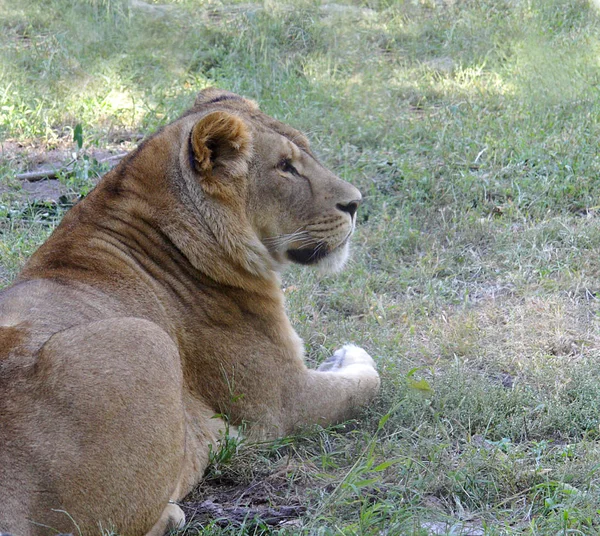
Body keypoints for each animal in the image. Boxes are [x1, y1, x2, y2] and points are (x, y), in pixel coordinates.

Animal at [1, 89, 380, 536]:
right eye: (285, 167)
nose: (355, 203)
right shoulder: (282, 404)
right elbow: (367, 383)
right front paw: (349, 356)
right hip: (147, 337)